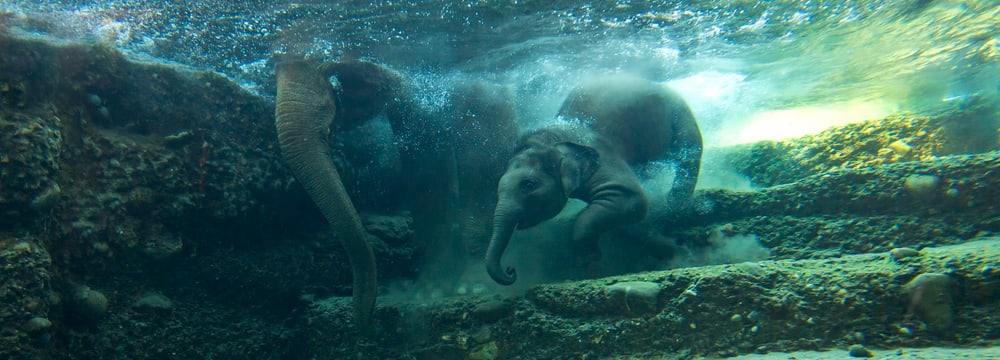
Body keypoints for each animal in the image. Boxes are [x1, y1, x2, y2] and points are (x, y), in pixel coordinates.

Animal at [486, 74, 704, 286]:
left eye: (528, 185)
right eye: (497, 190)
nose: (511, 270)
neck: (551, 137)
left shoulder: (601, 152)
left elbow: (633, 198)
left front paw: (587, 261)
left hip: (680, 112)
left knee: (688, 154)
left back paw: (674, 206)